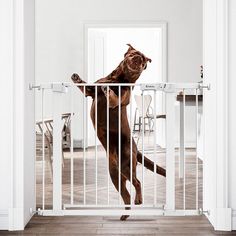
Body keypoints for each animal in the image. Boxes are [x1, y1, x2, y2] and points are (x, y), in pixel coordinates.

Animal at [71, 44, 165, 221]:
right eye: (135, 53)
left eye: (143, 59)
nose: (139, 58)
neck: (119, 79)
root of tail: (136, 149)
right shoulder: (90, 91)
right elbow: (85, 86)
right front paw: (76, 78)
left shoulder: (122, 98)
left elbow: (114, 97)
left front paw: (108, 91)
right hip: (115, 174)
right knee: (126, 194)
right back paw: (125, 214)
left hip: (127, 165)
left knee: (137, 182)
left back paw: (138, 200)